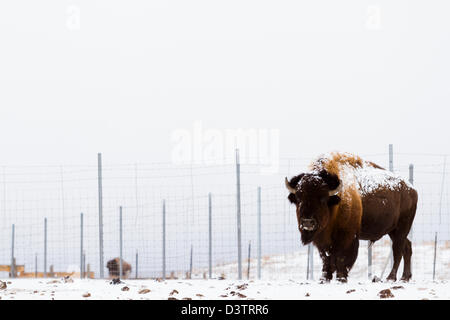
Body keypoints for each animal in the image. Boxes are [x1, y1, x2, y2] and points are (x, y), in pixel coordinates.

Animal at [284, 152, 418, 282]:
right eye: (298, 199)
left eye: (323, 199)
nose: (307, 222)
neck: (335, 202)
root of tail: (412, 190)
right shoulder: (321, 239)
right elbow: (325, 258)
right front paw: (324, 278)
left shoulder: (347, 236)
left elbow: (340, 257)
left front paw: (341, 278)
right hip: (393, 231)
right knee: (407, 247)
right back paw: (405, 278)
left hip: (401, 229)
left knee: (398, 250)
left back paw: (391, 278)